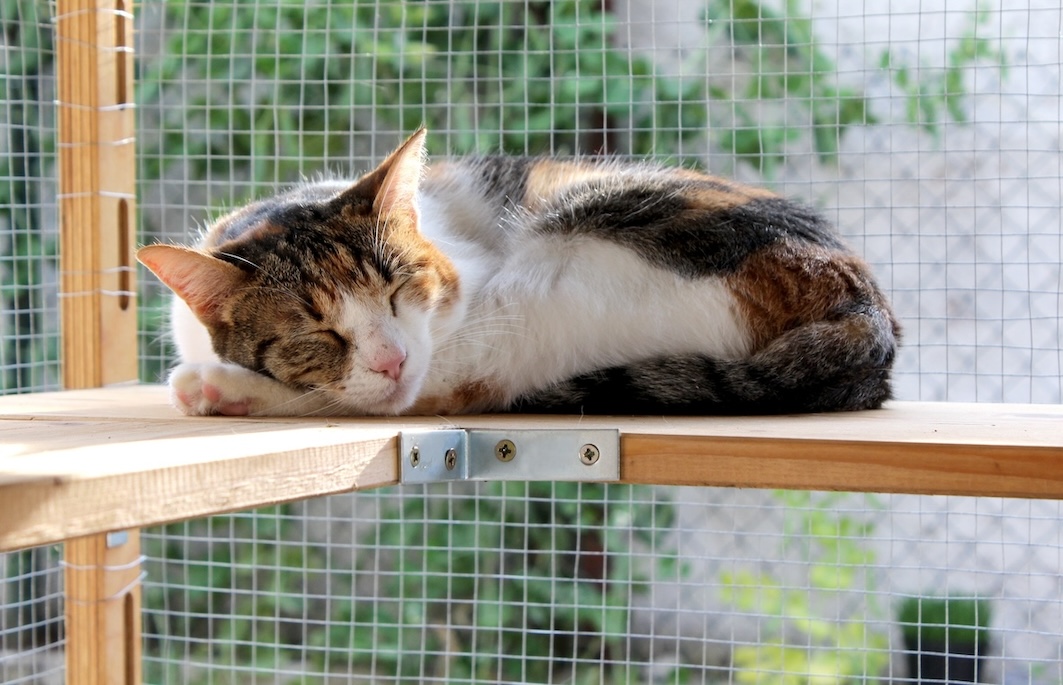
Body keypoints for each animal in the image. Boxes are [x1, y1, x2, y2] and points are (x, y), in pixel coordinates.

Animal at [135, 128, 897, 416]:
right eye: (314, 333)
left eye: (400, 288)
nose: (391, 358)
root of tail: (868, 315)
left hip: (553, 271)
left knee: (455, 387)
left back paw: (219, 389)